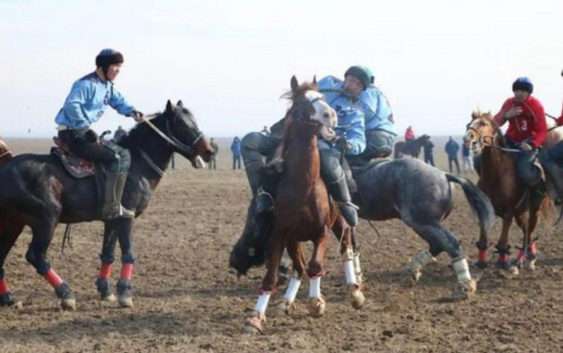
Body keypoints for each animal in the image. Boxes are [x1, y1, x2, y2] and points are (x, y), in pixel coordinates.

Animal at [247, 75, 366, 332]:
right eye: (302, 103)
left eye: (321, 97)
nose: (331, 115)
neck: (303, 188)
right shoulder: (280, 234)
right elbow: (273, 276)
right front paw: (256, 317)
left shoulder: (321, 232)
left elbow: (315, 266)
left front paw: (316, 302)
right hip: (294, 239)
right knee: (299, 267)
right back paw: (287, 301)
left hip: (340, 221)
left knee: (346, 246)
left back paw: (354, 291)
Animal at [464, 111, 552, 270]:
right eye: (469, 124)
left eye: (483, 123)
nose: (468, 139)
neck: (495, 176)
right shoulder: (484, 209)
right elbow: (483, 238)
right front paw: (481, 262)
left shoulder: (508, 212)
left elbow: (503, 240)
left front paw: (502, 261)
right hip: (520, 213)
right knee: (526, 231)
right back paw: (522, 258)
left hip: (533, 209)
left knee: (529, 232)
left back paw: (528, 259)